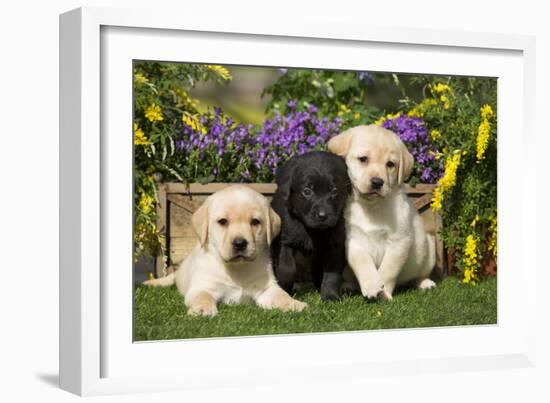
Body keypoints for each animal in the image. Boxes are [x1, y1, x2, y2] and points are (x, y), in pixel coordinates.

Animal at [144, 185, 308, 318]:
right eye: (222, 221)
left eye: (255, 222)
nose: (240, 243)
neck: (236, 269)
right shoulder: (202, 287)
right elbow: (202, 296)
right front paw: (202, 310)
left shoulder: (267, 288)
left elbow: (281, 295)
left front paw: (294, 304)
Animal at [272, 151, 354, 300]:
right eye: (307, 191)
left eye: (334, 191)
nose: (322, 216)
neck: (311, 230)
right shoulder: (284, 240)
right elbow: (287, 268)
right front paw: (285, 290)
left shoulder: (335, 244)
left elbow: (332, 272)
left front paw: (330, 295)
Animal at [330, 125, 438, 300]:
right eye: (363, 159)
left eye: (390, 164)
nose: (377, 182)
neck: (372, 206)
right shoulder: (353, 240)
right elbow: (362, 262)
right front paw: (372, 285)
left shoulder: (399, 241)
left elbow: (388, 269)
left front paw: (384, 293)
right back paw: (348, 286)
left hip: (428, 248)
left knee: (419, 275)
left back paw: (425, 283)